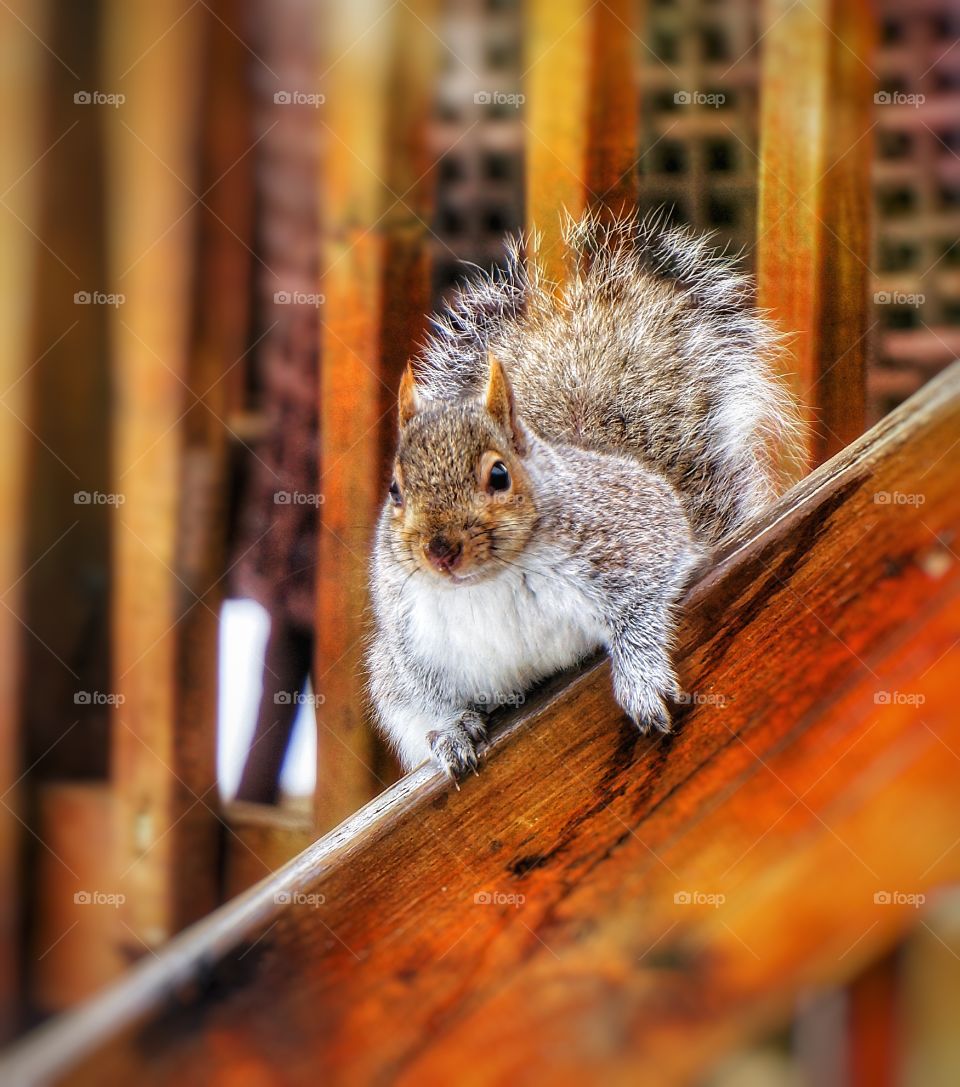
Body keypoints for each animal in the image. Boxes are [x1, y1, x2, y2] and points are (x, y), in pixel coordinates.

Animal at [365, 207, 795, 778]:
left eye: (499, 476)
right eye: (394, 489)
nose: (440, 551)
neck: (492, 579)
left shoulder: (631, 540)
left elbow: (641, 609)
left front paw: (640, 678)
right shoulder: (410, 638)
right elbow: (429, 697)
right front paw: (452, 732)